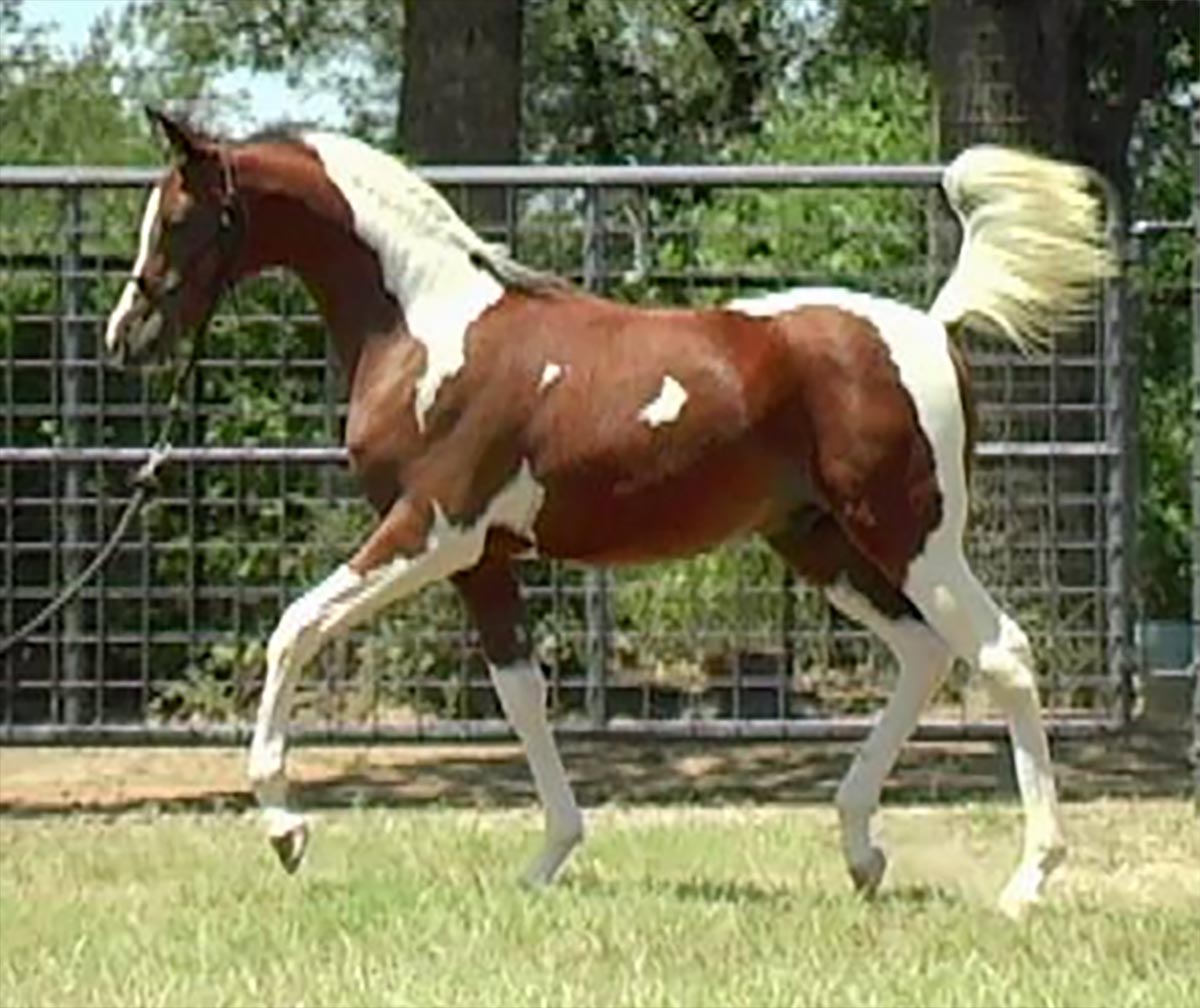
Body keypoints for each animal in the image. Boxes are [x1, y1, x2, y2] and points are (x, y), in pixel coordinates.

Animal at [105, 108, 1113, 912]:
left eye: (182, 218)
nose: (127, 336)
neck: (426, 328)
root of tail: (933, 328)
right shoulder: (485, 562)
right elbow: (521, 694)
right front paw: (548, 857)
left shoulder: (430, 531)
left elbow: (295, 628)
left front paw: (284, 826)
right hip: (822, 544)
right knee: (924, 652)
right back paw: (862, 850)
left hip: (911, 537)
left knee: (1001, 652)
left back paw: (1027, 881)